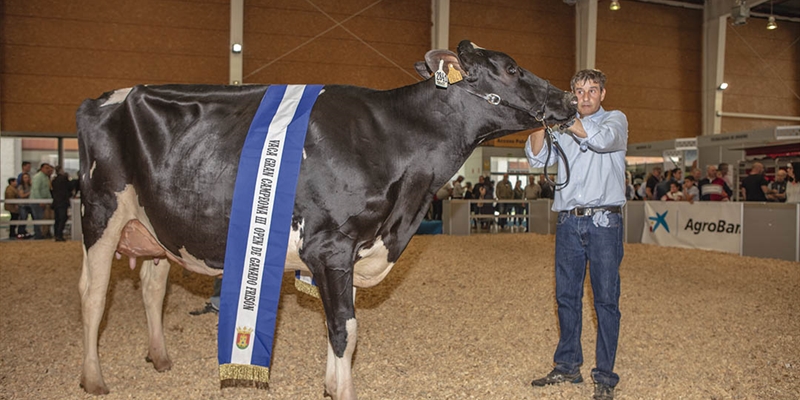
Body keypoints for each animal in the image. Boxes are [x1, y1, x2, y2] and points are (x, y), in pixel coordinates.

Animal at [76, 39, 576, 398]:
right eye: (511, 68)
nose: (570, 98)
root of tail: (100, 99)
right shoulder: (330, 246)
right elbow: (344, 330)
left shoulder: (352, 251)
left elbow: (342, 331)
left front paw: (331, 386)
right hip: (100, 213)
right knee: (94, 295)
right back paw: (94, 379)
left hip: (155, 226)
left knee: (152, 286)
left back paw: (160, 358)